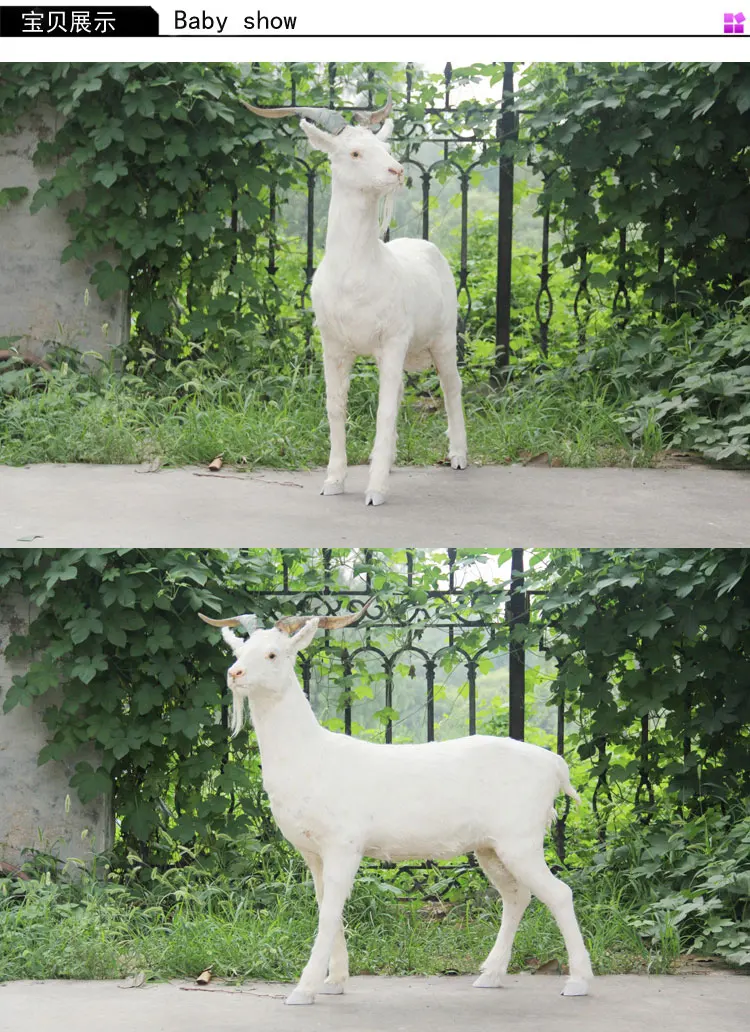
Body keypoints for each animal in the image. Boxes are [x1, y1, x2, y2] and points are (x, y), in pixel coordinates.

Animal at [200, 602, 594, 1006]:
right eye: (238, 651)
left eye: (273, 654)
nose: (235, 674)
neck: (312, 754)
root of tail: (555, 765)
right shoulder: (313, 853)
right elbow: (327, 908)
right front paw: (335, 981)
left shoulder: (344, 846)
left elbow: (329, 913)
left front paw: (304, 989)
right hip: (490, 849)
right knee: (517, 897)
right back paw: (491, 974)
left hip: (521, 842)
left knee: (559, 894)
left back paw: (578, 981)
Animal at [242, 93, 468, 506]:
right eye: (355, 152)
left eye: (385, 146)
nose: (397, 171)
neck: (357, 274)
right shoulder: (333, 345)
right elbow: (336, 407)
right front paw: (333, 481)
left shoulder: (393, 341)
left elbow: (384, 411)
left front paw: (375, 490)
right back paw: (390, 461)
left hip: (444, 339)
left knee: (451, 387)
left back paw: (458, 456)